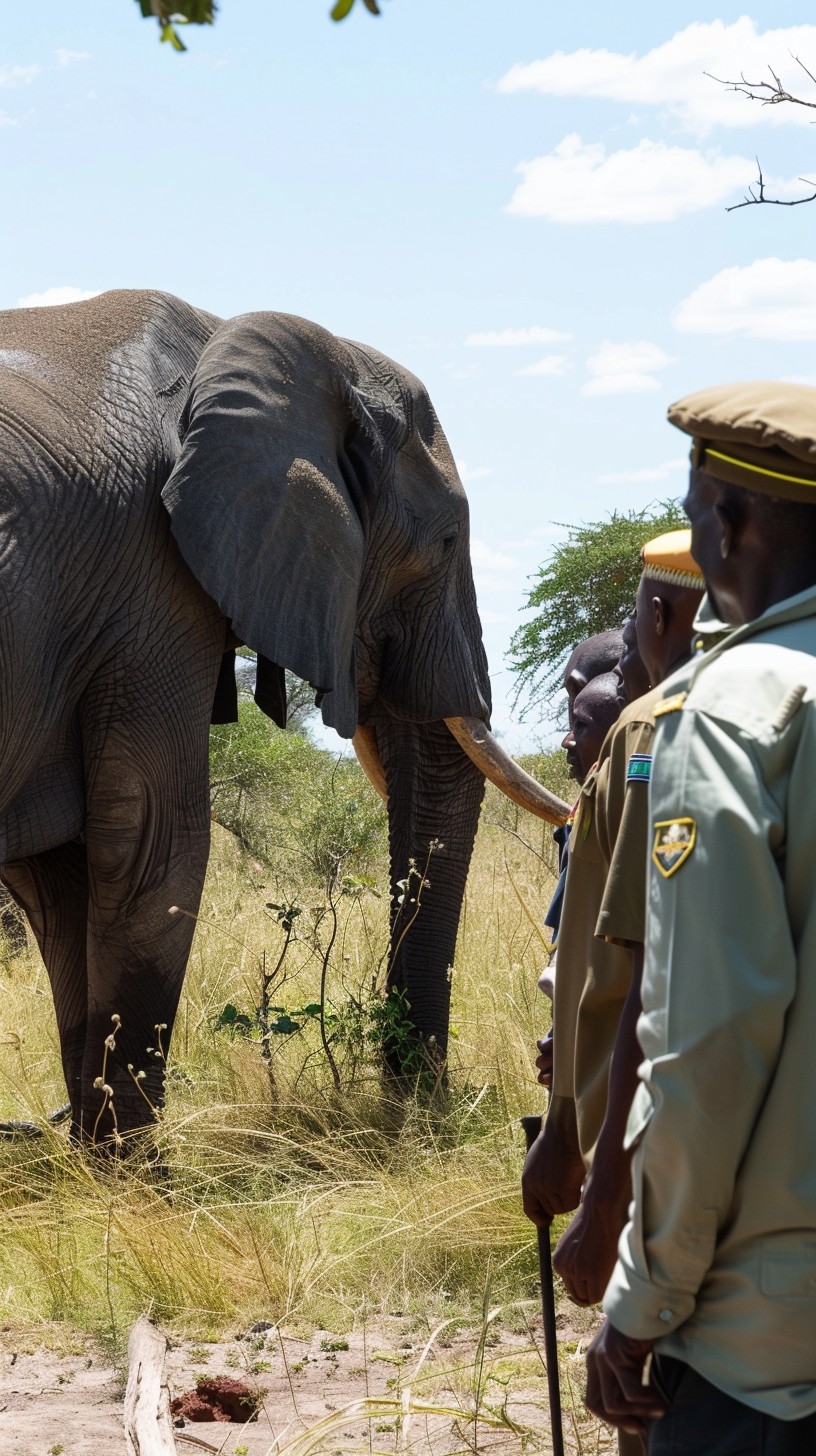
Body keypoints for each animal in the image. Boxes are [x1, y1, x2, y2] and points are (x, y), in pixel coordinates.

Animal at [0, 290, 568, 1144]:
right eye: (444, 542)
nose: (424, 1108)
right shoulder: (152, 589)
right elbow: (151, 839)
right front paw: (137, 1170)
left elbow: (61, 877)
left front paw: (97, 1154)